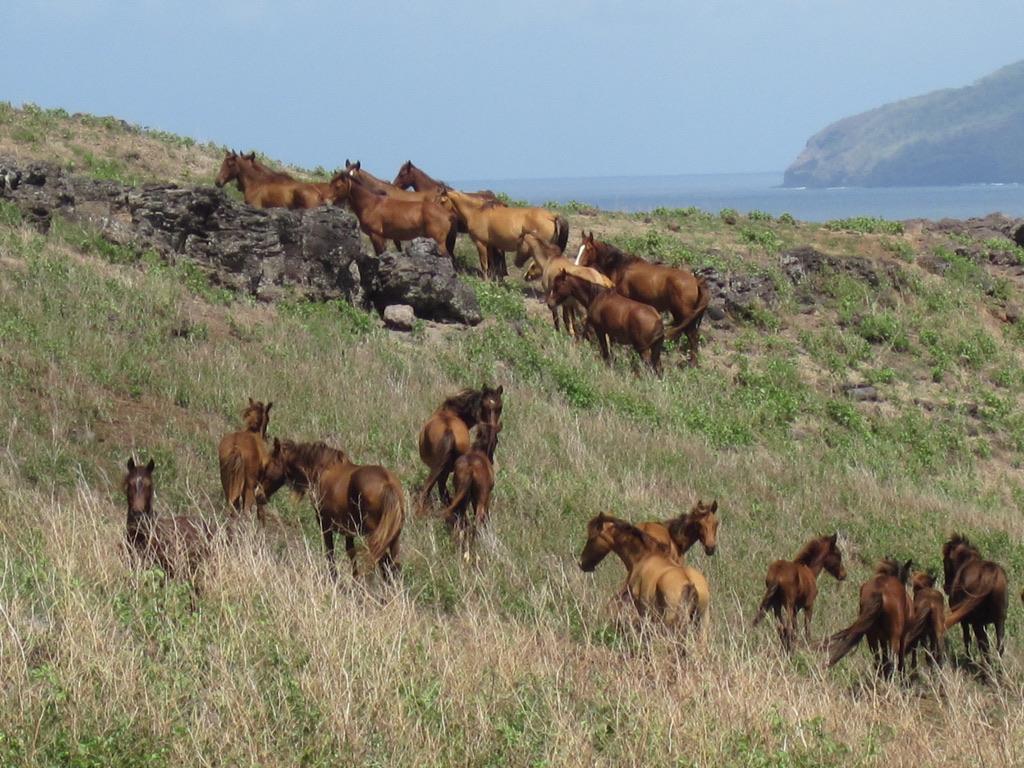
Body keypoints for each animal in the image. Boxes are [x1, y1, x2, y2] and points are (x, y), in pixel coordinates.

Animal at [262, 439, 405, 582]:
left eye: (268, 464)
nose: (260, 495)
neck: (321, 468)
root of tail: (388, 484)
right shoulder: (349, 529)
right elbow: (350, 551)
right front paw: (355, 580)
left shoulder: (324, 523)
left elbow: (330, 551)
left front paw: (334, 579)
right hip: (393, 537)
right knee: (394, 564)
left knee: (385, 562)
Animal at [440, 188, 568, 279]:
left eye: (442, 200)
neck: (476, 211)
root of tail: (552, 216)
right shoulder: (490, 245)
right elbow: (491, 263)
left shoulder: (481, 243)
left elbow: (484, 264)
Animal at [441, 421, 501, 559]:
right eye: (496, 440)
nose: (491, 459)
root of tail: (470, 468)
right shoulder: (486, 496)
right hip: (480, 497)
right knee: (477, 517)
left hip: (462, 495)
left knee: (461, 516)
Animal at [575, 232, 711, 366]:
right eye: (579, 247)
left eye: (588, 248)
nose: (576, 266)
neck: (620, 266)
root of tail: (696, 281)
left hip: (683, 314)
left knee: (693, 337)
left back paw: (692, 363)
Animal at [942, 534, 1009, 664]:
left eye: (945, 560)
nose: (946, 587)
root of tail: (991, 575)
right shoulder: (985, 623)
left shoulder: (964, 620)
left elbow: (967, 639)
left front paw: (969, 658)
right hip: (999, 620)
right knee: (999, 646)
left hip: (977, 622)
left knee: (984, 645)